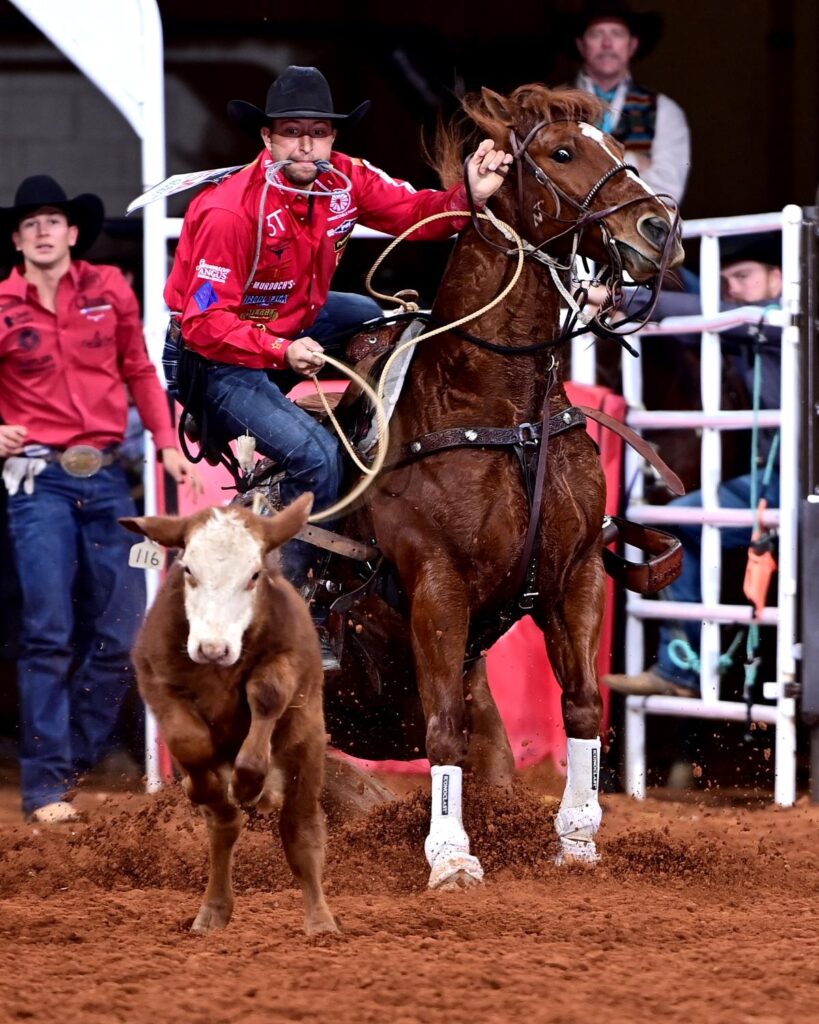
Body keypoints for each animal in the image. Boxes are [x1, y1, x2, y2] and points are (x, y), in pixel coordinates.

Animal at [119, 495, 335, 937]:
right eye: (188, 569)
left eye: (254, 575)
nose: (213, 649)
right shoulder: (155, 678)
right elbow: (188, 741)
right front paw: (200, 786)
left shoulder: (286, 659)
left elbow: (267, 695)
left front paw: (251, 781)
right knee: (224, 825)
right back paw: (213, 910)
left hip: (306, 747)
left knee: (300, 829)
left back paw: (320, 920)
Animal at [354, 86, 679, 888]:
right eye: (562, 152)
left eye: (615, 144)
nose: (661, 231)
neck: (501, 407)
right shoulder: (435, 584)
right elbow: (443, 727)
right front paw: (450, 856)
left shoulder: (576, 573)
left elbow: (584, 705)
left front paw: (578, 839)